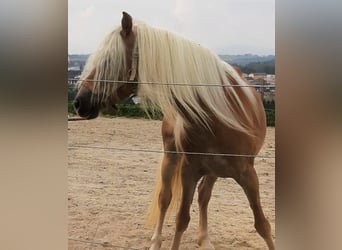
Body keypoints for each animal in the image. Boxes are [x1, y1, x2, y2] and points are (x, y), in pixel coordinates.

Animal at [74, 10, 276, 249]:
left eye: (108, 61)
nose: (79, 102)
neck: (217, 114)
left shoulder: (248, 174)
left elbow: (262, 225)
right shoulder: (189, 171)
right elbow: (181, 220)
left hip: (214, 171)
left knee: (204, 195)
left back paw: (204, 239)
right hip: (171, 157)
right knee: (165, 198)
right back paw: (157, 241)